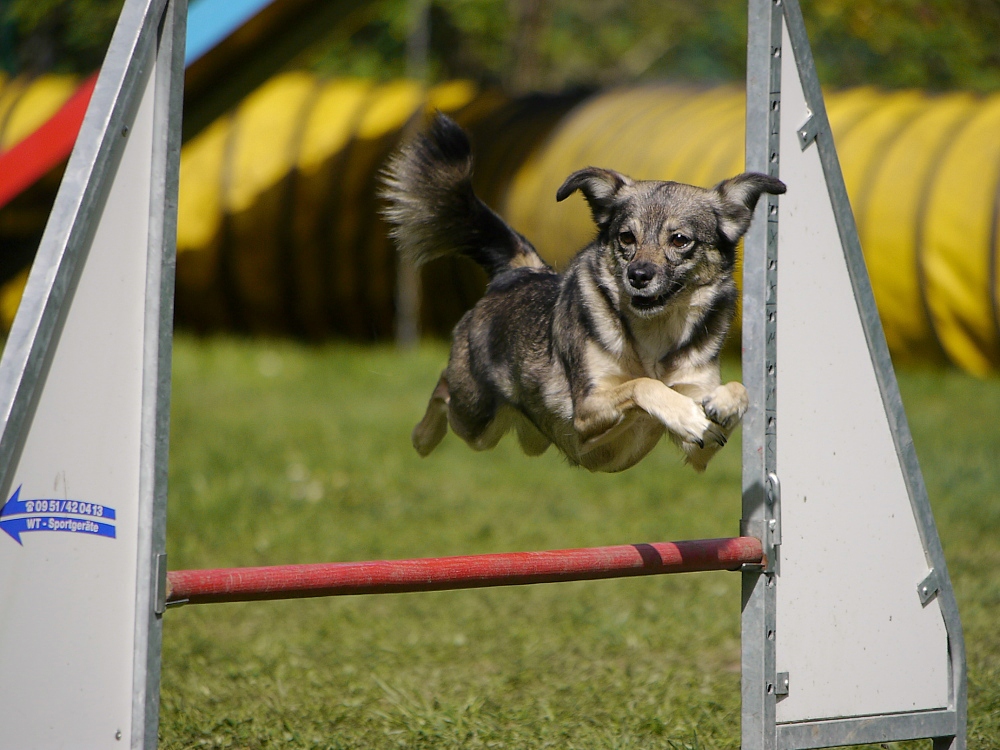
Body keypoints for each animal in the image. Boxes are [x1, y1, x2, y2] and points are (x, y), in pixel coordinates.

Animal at [378, 114, 784, 472]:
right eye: (627, 237)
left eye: (680, 240)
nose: (638, 276)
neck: (654, 339)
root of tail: (521, 271)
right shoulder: (588, 411)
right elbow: (644, 385)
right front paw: (684, 413)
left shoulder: (696, 445)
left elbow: (738, 393)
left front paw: (722, 405)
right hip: (476, 417)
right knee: (443, 391)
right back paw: (421, 438)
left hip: (527, 435)